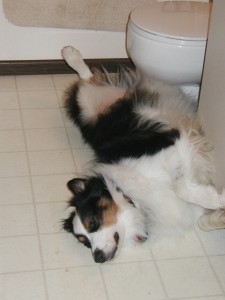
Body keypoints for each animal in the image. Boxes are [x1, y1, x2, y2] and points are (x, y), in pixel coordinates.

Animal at [61, 45, 225, 262]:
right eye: (85, 242)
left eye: (94, 222)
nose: (98, 257)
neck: (134, 198)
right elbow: (202, 221)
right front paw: (219, 213)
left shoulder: (177, 145)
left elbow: (180, 187)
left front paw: (219, 201)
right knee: (88, 79)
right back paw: (70, 54)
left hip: (87, 103)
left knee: (87, 79)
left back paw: (70, 54)